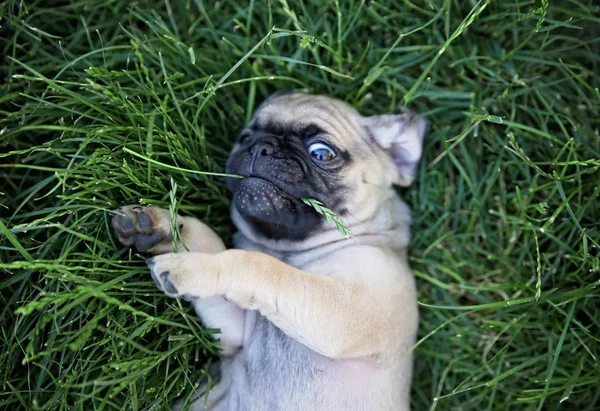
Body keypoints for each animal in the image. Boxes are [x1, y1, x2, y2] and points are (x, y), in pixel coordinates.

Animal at [111, 91, 426, 410]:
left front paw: (195, 268)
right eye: (245, 137)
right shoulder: (234, 332)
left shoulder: (348, 307)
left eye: (322, 153)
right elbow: (208, 241)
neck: (290, 253)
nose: (261, 146)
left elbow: (256, 265)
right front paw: (164, 227)